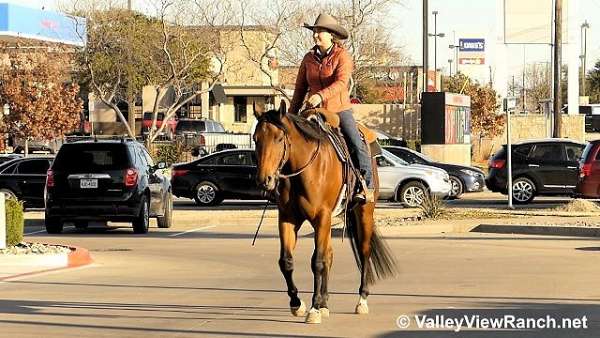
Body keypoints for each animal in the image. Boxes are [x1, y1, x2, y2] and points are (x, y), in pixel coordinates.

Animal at [251, 101, 396, 324]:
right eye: (255, 139)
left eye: (279, 138)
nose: (263, 180)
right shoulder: (287, 218)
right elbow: (286, 261)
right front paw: (298, 304)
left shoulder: (322, 217)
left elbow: (317, 262)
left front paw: (314, 308)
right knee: (329, 254)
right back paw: (325, 302)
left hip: (364, 211)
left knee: (364, 252)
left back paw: (361, 300)